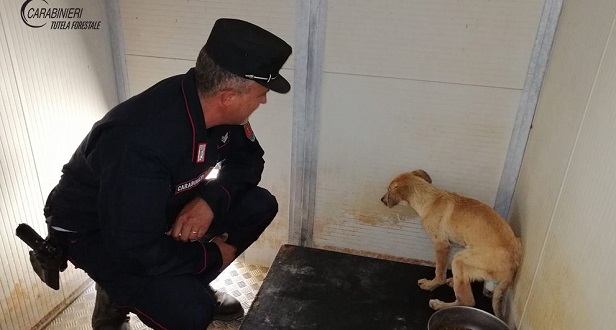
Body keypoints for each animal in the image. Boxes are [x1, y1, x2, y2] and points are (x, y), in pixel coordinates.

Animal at [380, 169, 520, 318]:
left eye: (388, 189)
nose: (381, 199)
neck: (430, 199)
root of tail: (513, 267)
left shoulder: (442, 244)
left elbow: (439, 271)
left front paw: (431, 284)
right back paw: (454, 281)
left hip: (459, 259)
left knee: (467, 301)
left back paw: (440, 305)